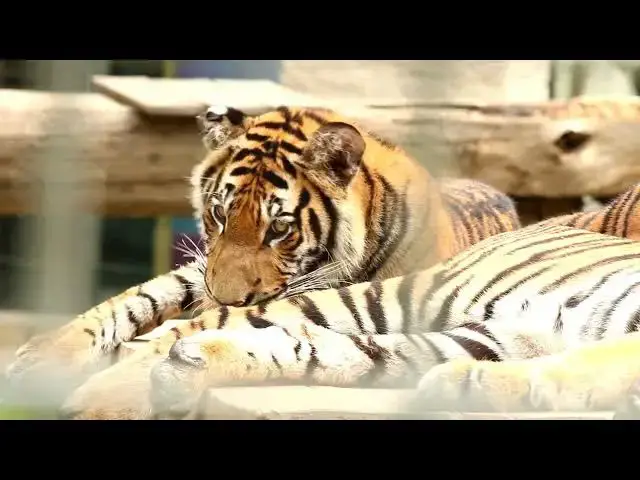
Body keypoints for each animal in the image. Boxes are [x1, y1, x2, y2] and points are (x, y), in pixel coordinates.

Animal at [5, 105, 521, 412]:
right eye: (219, 213)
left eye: (279, 228)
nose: (223, 297)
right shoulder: (204, 269)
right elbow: (141, 297)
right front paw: (46, 357)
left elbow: (196, 331)